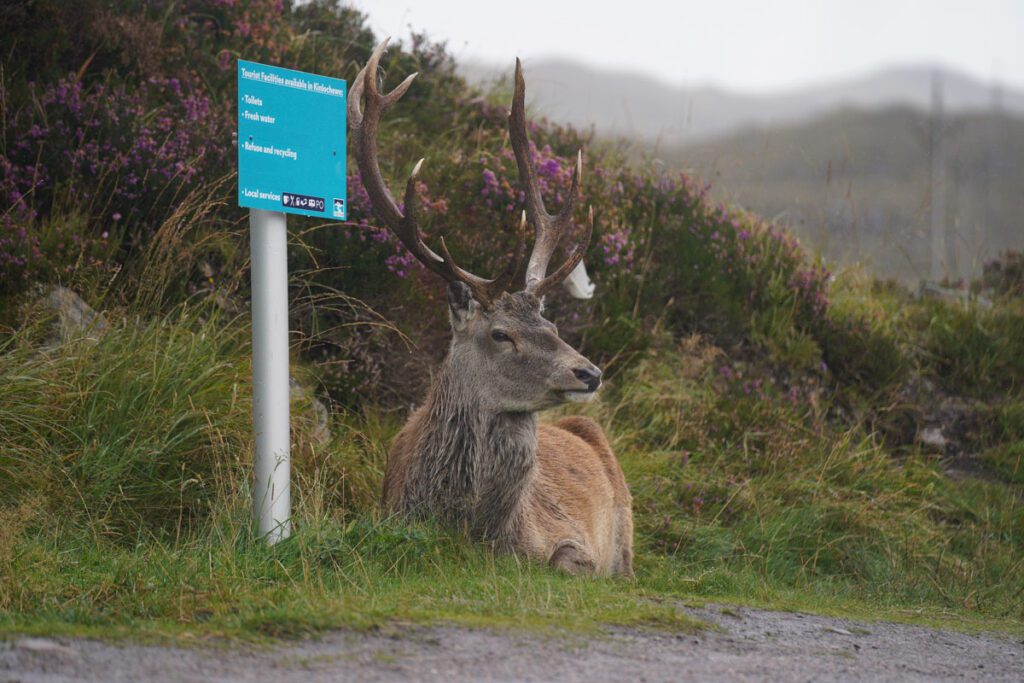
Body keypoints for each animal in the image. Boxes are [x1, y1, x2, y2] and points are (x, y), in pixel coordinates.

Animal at [348, 38, 626, 577]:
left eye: (552, 323)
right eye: (501, 334)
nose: (589, 373)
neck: (482, 534)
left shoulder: (571, 540)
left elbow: (570, 562)